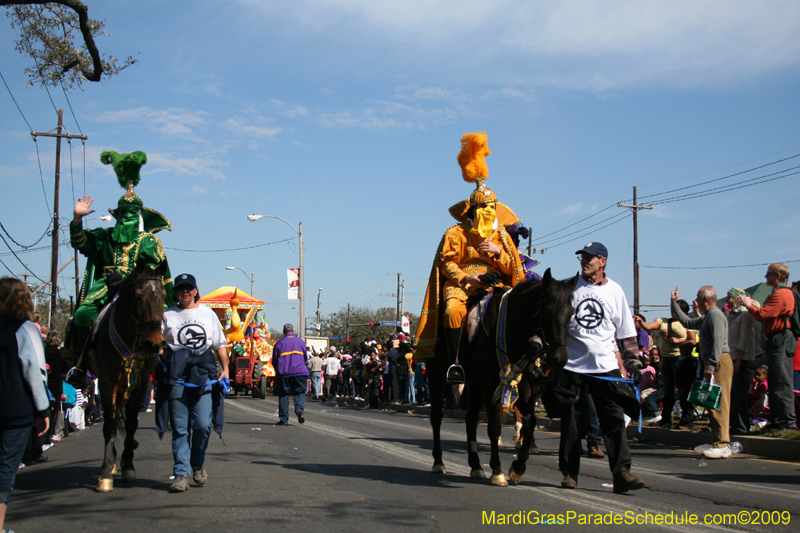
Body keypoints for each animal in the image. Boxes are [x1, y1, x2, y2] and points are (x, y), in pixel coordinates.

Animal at [88, 260, 168, 490]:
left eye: (163, 296)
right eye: (138, 297)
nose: (156, 344)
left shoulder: (142, 384)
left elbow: (131, 423)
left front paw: (129, 466)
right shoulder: (106, 382)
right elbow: (109, 425)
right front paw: (106, 471)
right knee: (114, 418)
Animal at [424, 268, 576, 484]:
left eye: (571, 312)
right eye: (547, 311)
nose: (560, 358)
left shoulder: (525, 380)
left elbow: (530, 421)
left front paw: (518, 467)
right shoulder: (491, 381)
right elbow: (494, 426)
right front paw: (497, 470)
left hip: (474, 382)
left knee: (471, 419)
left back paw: (476, 466)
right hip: (438, 375)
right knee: (436, 417)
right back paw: (439, 463)